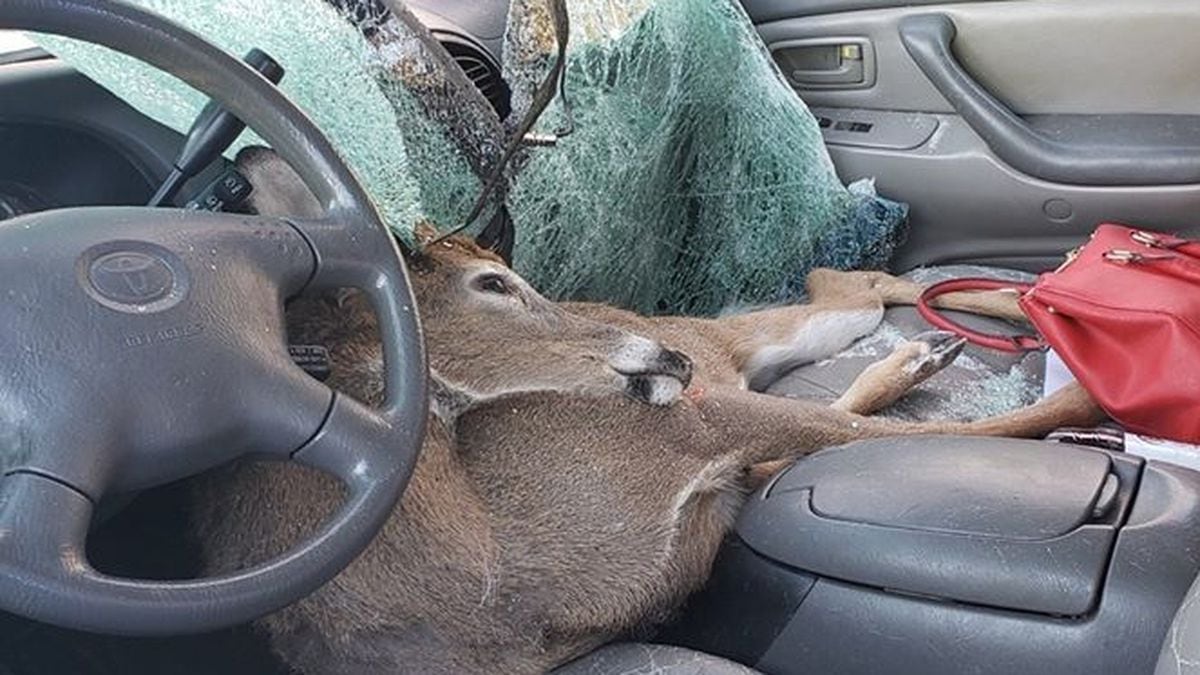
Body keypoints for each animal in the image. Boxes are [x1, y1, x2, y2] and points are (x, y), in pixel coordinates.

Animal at [187, 148, 1104, 672]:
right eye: (493, 284)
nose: (664, 357)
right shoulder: (697, 448)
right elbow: (858, 432)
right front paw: (1085, 397)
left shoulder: (688, 426)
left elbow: (890, 429)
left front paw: (1089, 394)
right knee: (841, 310)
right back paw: (947, 345)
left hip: (736, 346)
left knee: (856, 283)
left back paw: (1054, 296)